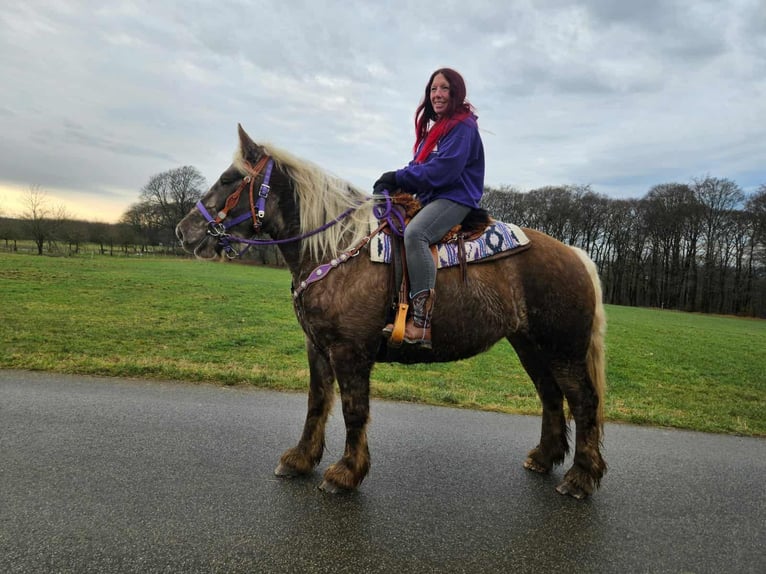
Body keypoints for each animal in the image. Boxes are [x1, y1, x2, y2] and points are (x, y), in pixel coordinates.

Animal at [176, 125, 607, 499]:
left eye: (230, 179)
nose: (184, 231)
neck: (336, 249)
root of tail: (577, 255)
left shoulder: (350, 352)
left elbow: (353, 410)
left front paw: (346, 474)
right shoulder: (317, 347)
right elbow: (317, 402)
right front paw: (300, 460)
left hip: (563, 350)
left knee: (584, 402)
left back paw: (580, 478)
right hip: (530, 346)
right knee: (550, 396)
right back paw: (545, 458)